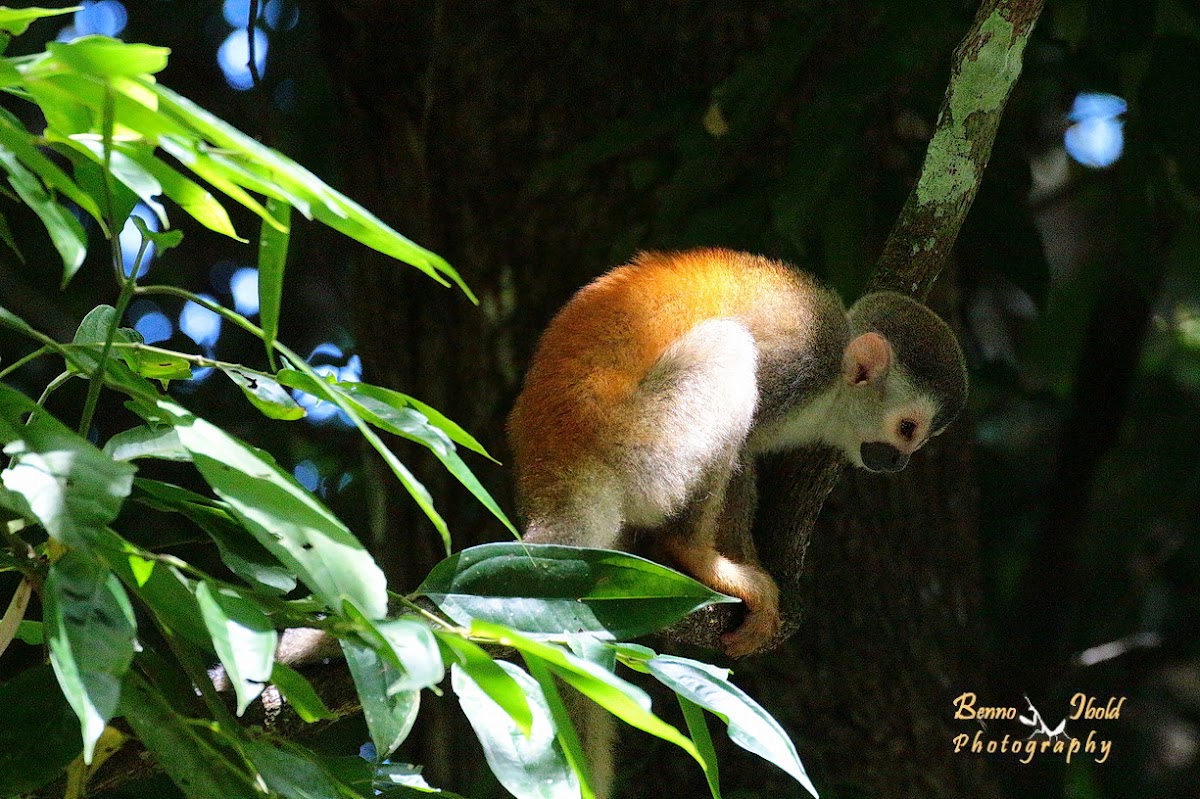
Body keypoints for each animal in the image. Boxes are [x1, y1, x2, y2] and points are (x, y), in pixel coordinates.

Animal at [506, 247, 964, 652]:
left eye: (921, 440)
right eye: (906, 429)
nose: (899, 462)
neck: (836, 380)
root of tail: (561, 466)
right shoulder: (801, 365)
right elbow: (743, 450)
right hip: (638, 447)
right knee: (729, 347)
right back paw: (693, 555)